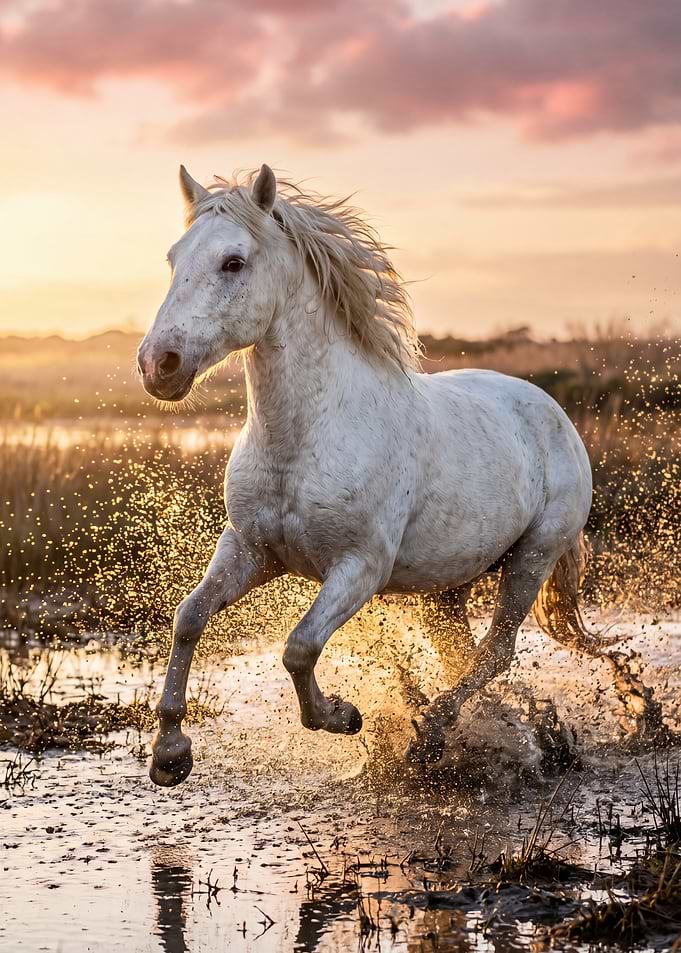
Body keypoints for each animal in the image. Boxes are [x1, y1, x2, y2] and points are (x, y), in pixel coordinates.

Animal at [137, 164, 658, 787]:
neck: (302, 442)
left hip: (532, 558)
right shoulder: (250, 550)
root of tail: (551, 411)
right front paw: (170, 754)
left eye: (233, 262)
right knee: (465, 653)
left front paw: (342, 716)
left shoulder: (360, 567)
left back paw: (432, 736)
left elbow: (299, 647)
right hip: (449, 586)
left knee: (495, 650)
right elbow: (189, 618)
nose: (158, 365)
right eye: (172, 259)